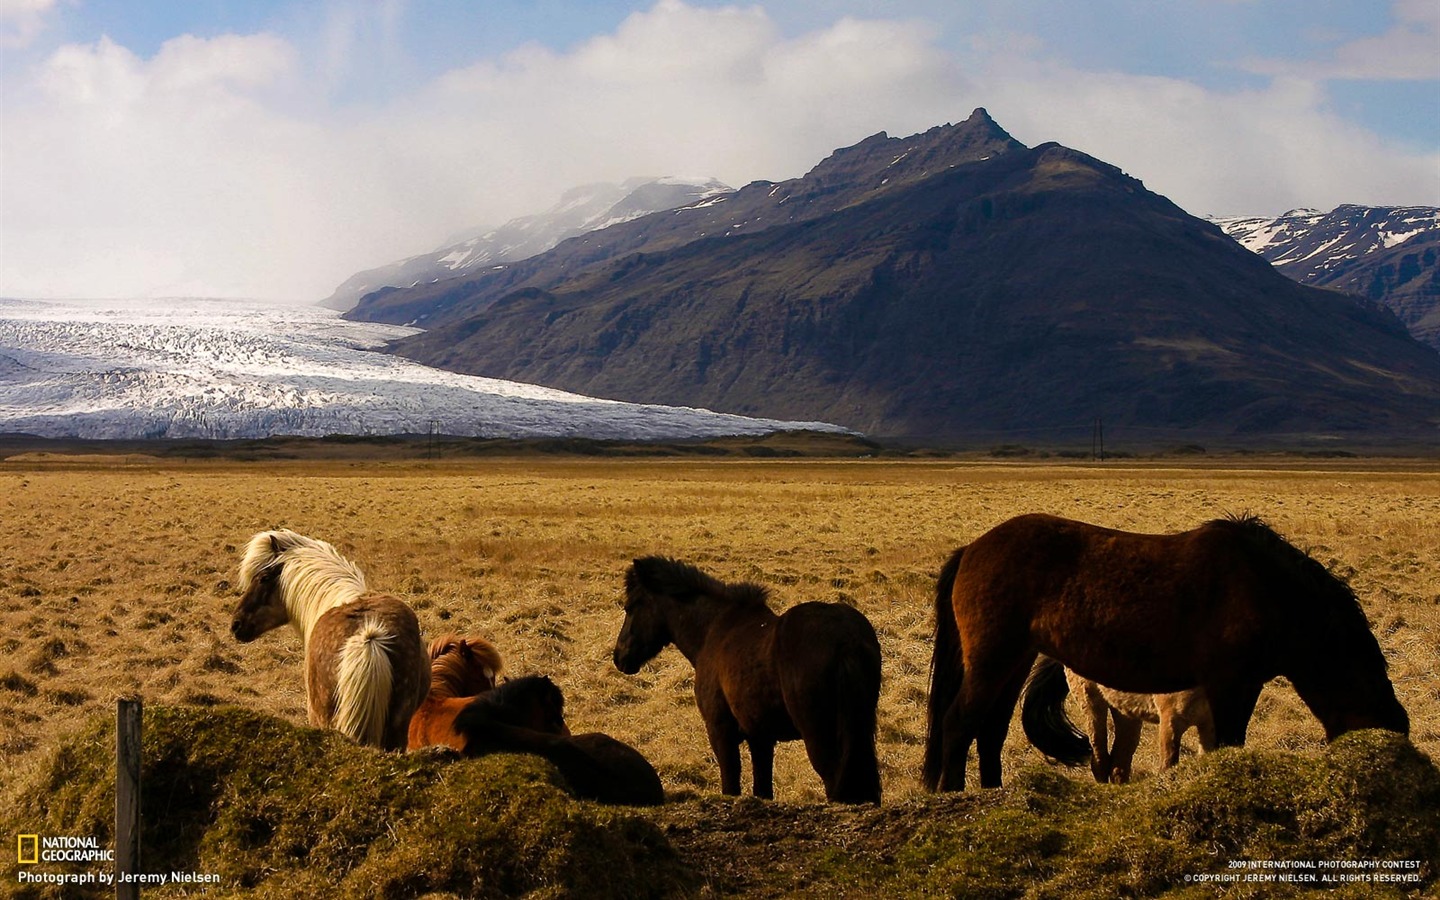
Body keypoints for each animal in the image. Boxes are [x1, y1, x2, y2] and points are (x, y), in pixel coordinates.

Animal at [613, 555, 881, 800]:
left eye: (631, 606)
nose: (619, 656)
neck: (713, 631)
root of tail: (846, 639)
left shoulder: (721, 732)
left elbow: (731, 785)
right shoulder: (760, 737)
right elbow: (762, 790)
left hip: (820, 737)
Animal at [1025, 656, 1215, 783]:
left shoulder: (1208, 727)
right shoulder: (1170, 721)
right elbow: (1168, 767)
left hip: (1126, 712)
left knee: (1119, 764)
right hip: (1092, 703)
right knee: (1100, 759)